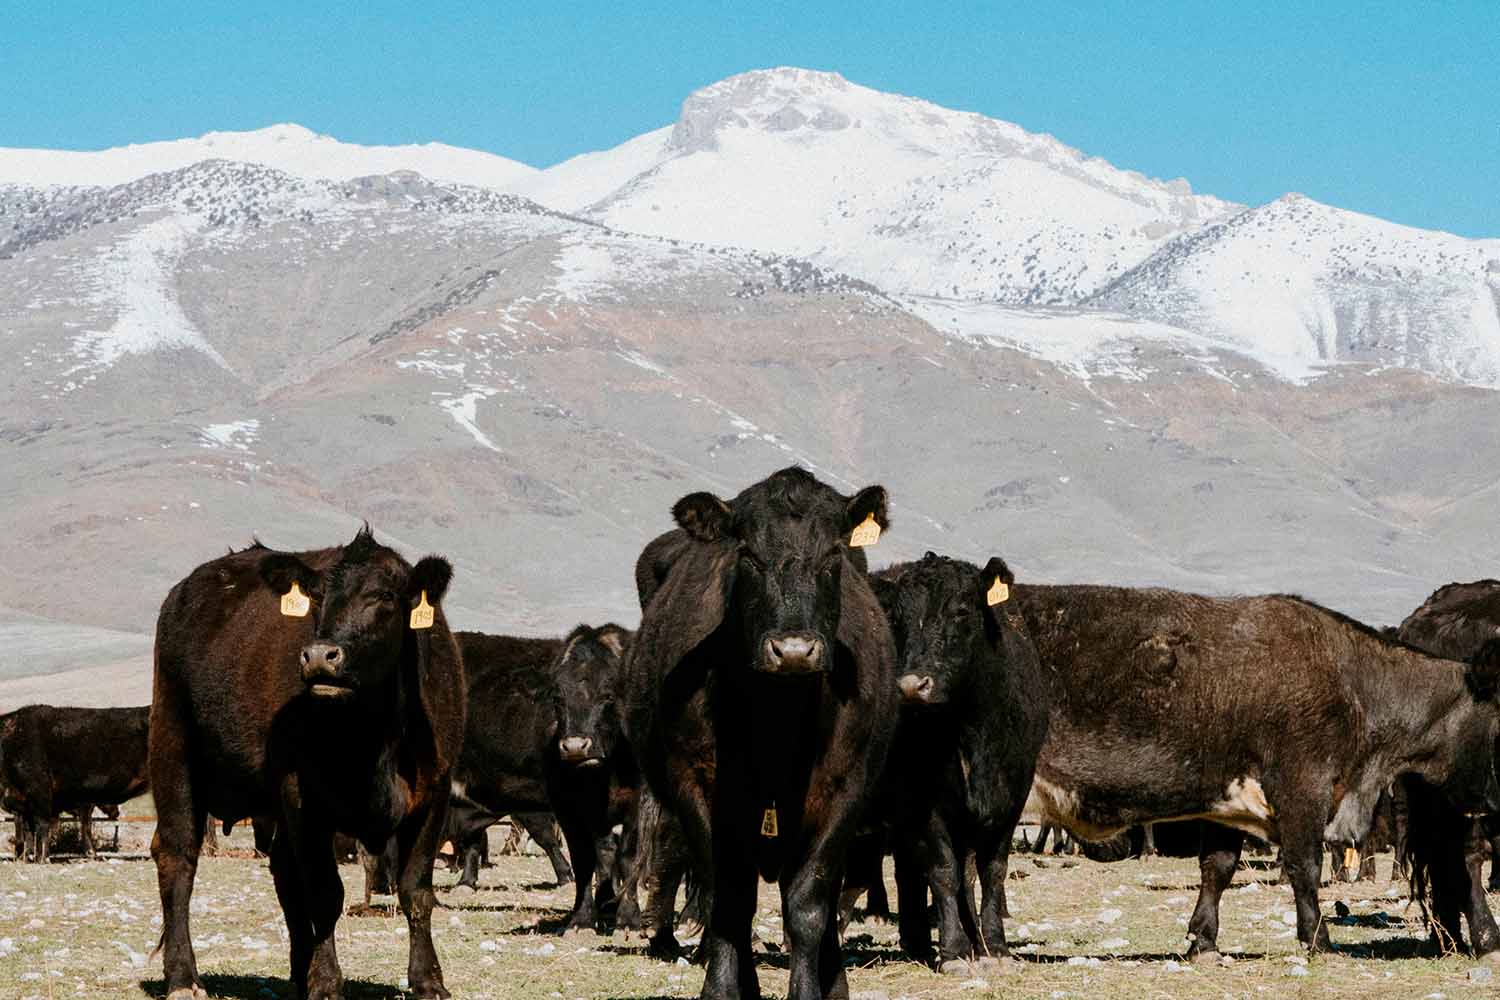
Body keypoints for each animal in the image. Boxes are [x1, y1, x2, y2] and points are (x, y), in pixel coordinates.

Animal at [0, 704, 150, 863]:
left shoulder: (40, 793)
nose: (116, 812)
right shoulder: (25, 803)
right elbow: (28, 831)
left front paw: (42, 858)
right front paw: (28, 857)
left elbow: (43, 827)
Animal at [149, 527, 462, 995]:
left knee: (282, 872)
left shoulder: (434, 794)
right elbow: (324, 894)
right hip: (173, 746)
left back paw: (298, 975)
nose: (318, 656)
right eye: (317, 597)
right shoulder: (303, 797)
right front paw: (328, 983)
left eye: (385, 596)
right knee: (177, 855)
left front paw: (428, 981)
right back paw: (184, 978)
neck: (374, 738)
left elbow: (416, 891)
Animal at [618, 470, 888, 1000]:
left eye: (832, 554)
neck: (776, 719)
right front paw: (723, 988)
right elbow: (729, 901)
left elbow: (809, 906)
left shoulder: (844, 790)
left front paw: (809, 991)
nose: (794, 650)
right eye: (748, 555)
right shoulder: (698, 788)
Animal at [864, 554, 1050, 971]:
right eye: (899, 616)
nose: (912, 686)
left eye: (961, 611)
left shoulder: (1013, 793)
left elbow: (990, 870)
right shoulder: (927, 799)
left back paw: (922, 940)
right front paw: (953, 949)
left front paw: (993, 945)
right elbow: (945, 870)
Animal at [1008, 587, 1500, 959]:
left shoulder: (1226, 798)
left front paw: (1203, 940)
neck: (1355, 684)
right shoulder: (1302, 786)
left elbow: (1218, 867)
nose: (1493, 801)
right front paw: (1318, 939)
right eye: (1499, 722)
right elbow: (1305, 864)